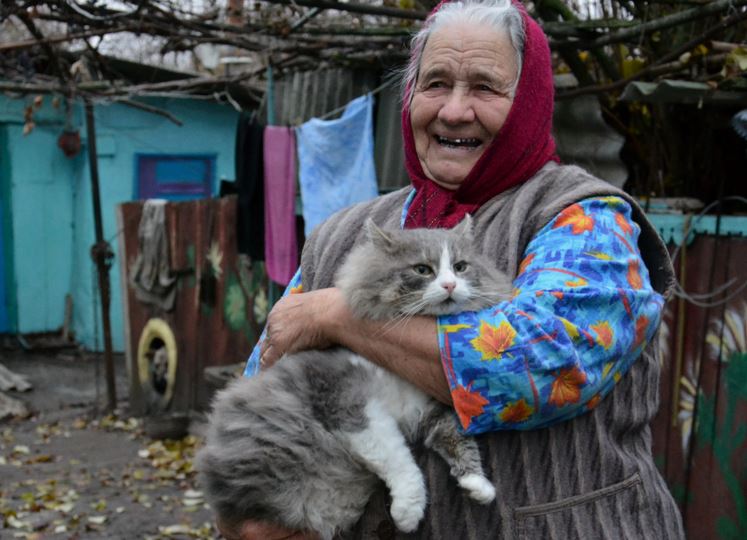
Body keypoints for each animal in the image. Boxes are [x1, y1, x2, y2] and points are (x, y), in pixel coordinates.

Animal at [196, 217, 516, 536]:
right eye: (423, 269)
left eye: (460, 267)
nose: (450, 284)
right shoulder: (352, 406)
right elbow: (400, 460)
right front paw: (407, 513)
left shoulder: (430, 409)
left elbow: (459, 441)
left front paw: (478, 485)